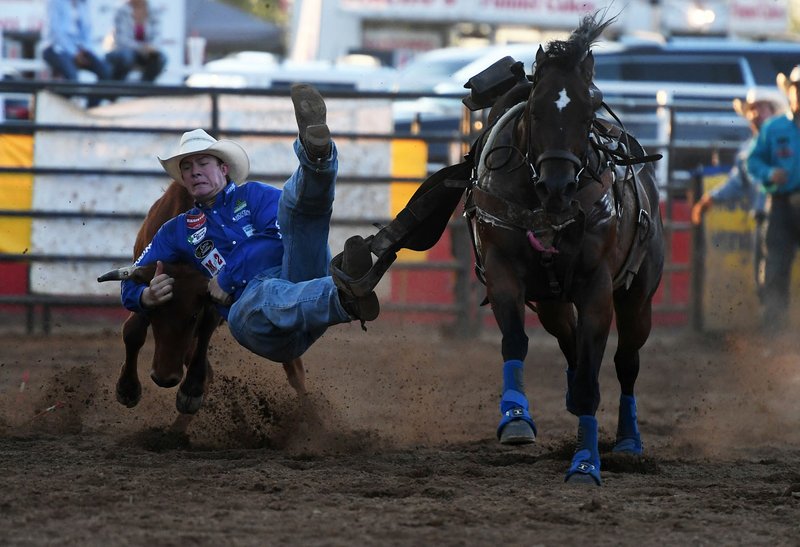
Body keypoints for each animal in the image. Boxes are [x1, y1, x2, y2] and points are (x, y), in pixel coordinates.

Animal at [468, 11, 664, 484]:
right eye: (535, 110)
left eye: (588, 109)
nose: (557, 185)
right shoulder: (503, 272)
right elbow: (515, 341)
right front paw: (516, 418)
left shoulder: (597, 290)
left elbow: (596, 375)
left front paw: (586, 462)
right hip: (551, 302)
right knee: (570, 344)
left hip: (638, 299)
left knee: (626, 362)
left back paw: (628, 442)